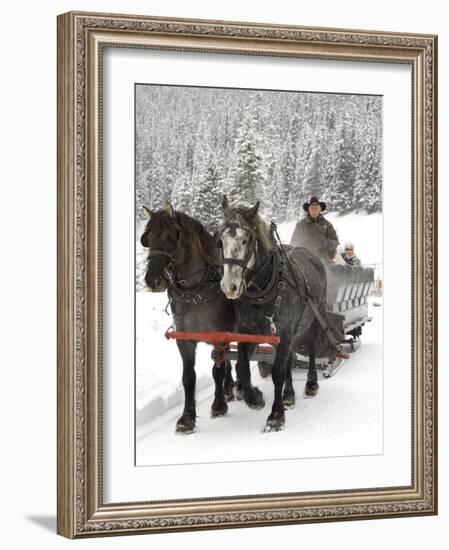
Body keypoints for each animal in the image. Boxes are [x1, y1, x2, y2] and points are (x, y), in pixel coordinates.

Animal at [141, 203, 262, 436]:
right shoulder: (184, 339)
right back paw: (230, 389)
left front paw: (218, 405)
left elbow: (217, 371)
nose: (152, 280)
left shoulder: (220, 335)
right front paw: (187, 419)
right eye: (147, 238)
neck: (195, 291)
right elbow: (189, 377)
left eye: (171, 237)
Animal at [219, 198, 342, 436]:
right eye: (220, 239)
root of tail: (311, 255)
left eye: (246, 240)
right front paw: (254, 398)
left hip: (315, 317)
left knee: (311, 350)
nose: (230, 286)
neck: (264, 289)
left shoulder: (284, 332)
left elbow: (277, 372)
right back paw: (289, 395)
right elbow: (242, 367)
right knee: (290, 359)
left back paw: (310, 384)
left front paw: (275, 417)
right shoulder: (249, 333)